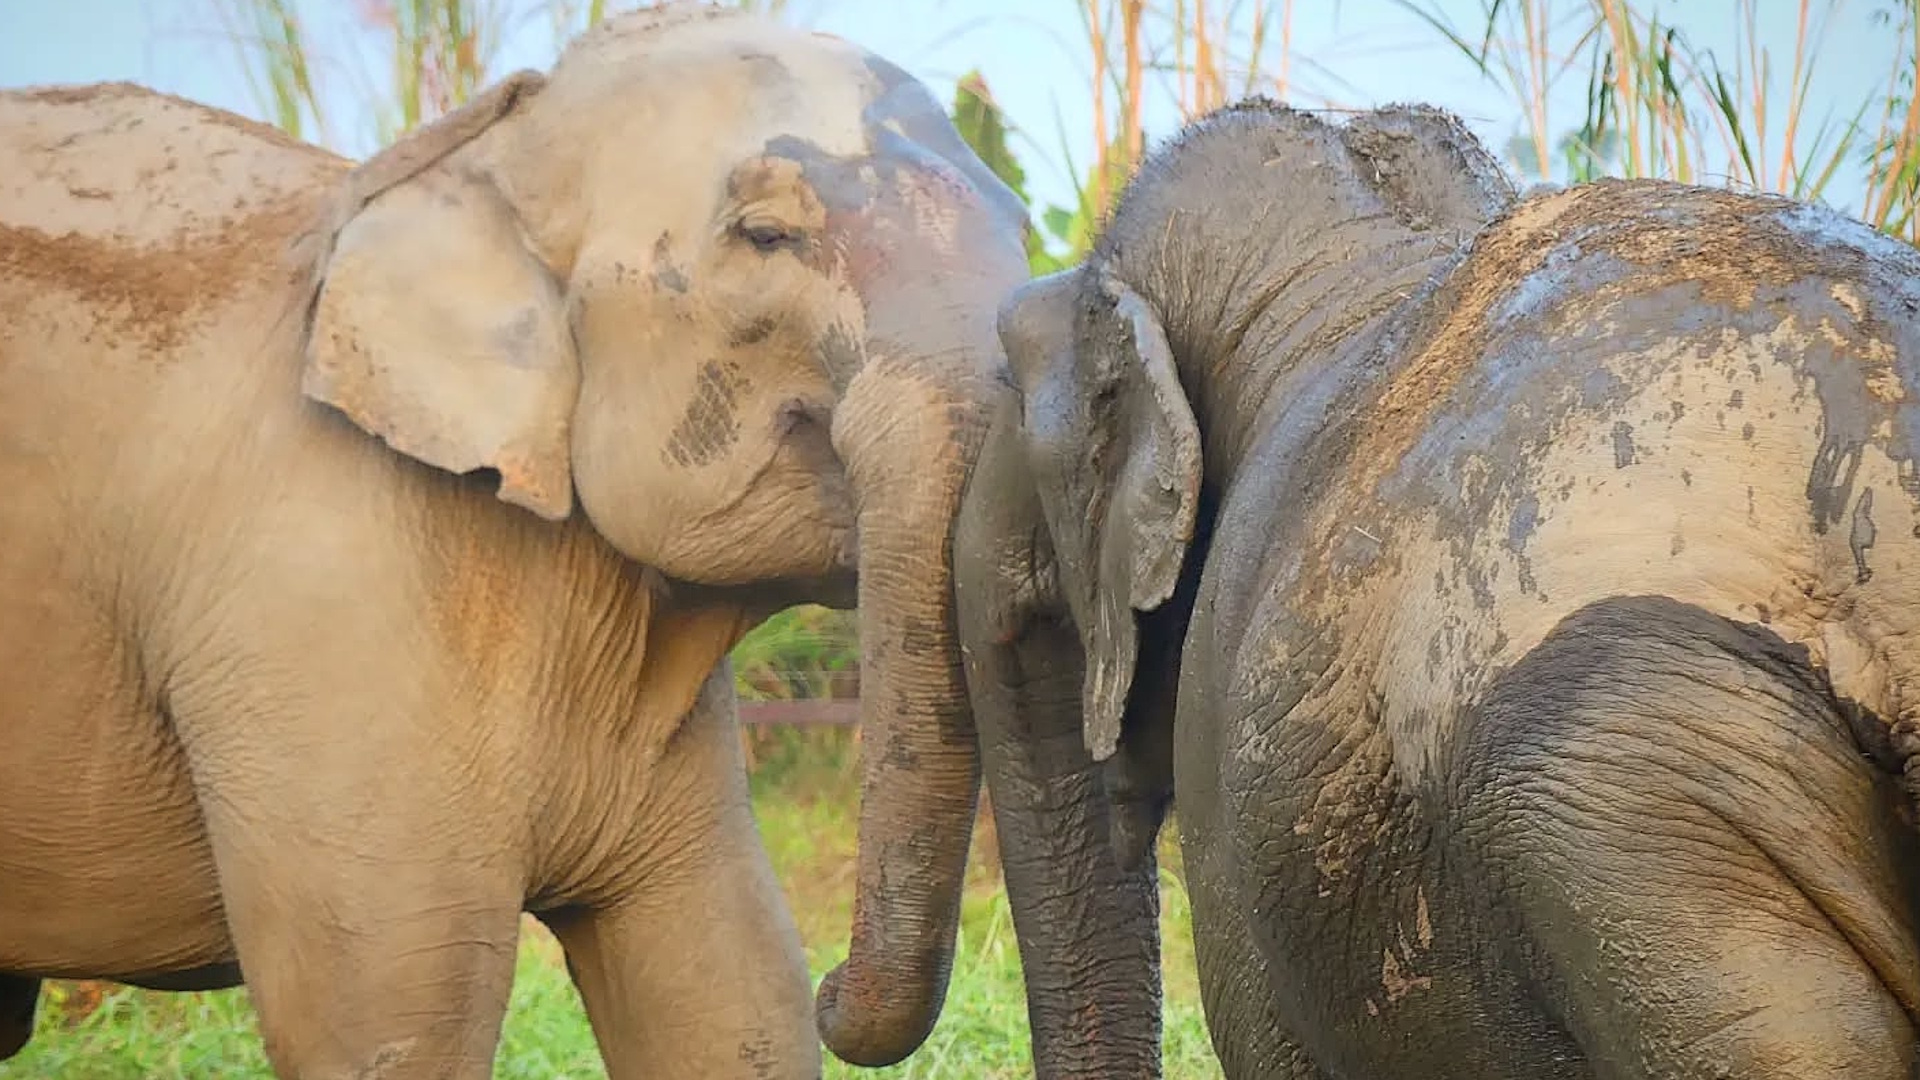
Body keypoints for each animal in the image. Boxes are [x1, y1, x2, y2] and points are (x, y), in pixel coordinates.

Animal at [0, 5, 1032, 1077]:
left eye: (1024, 228)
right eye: (766, 235)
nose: (840, 981)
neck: (481, 146)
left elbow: (731, 993)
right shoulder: (321, 600)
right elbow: (389, 1026)